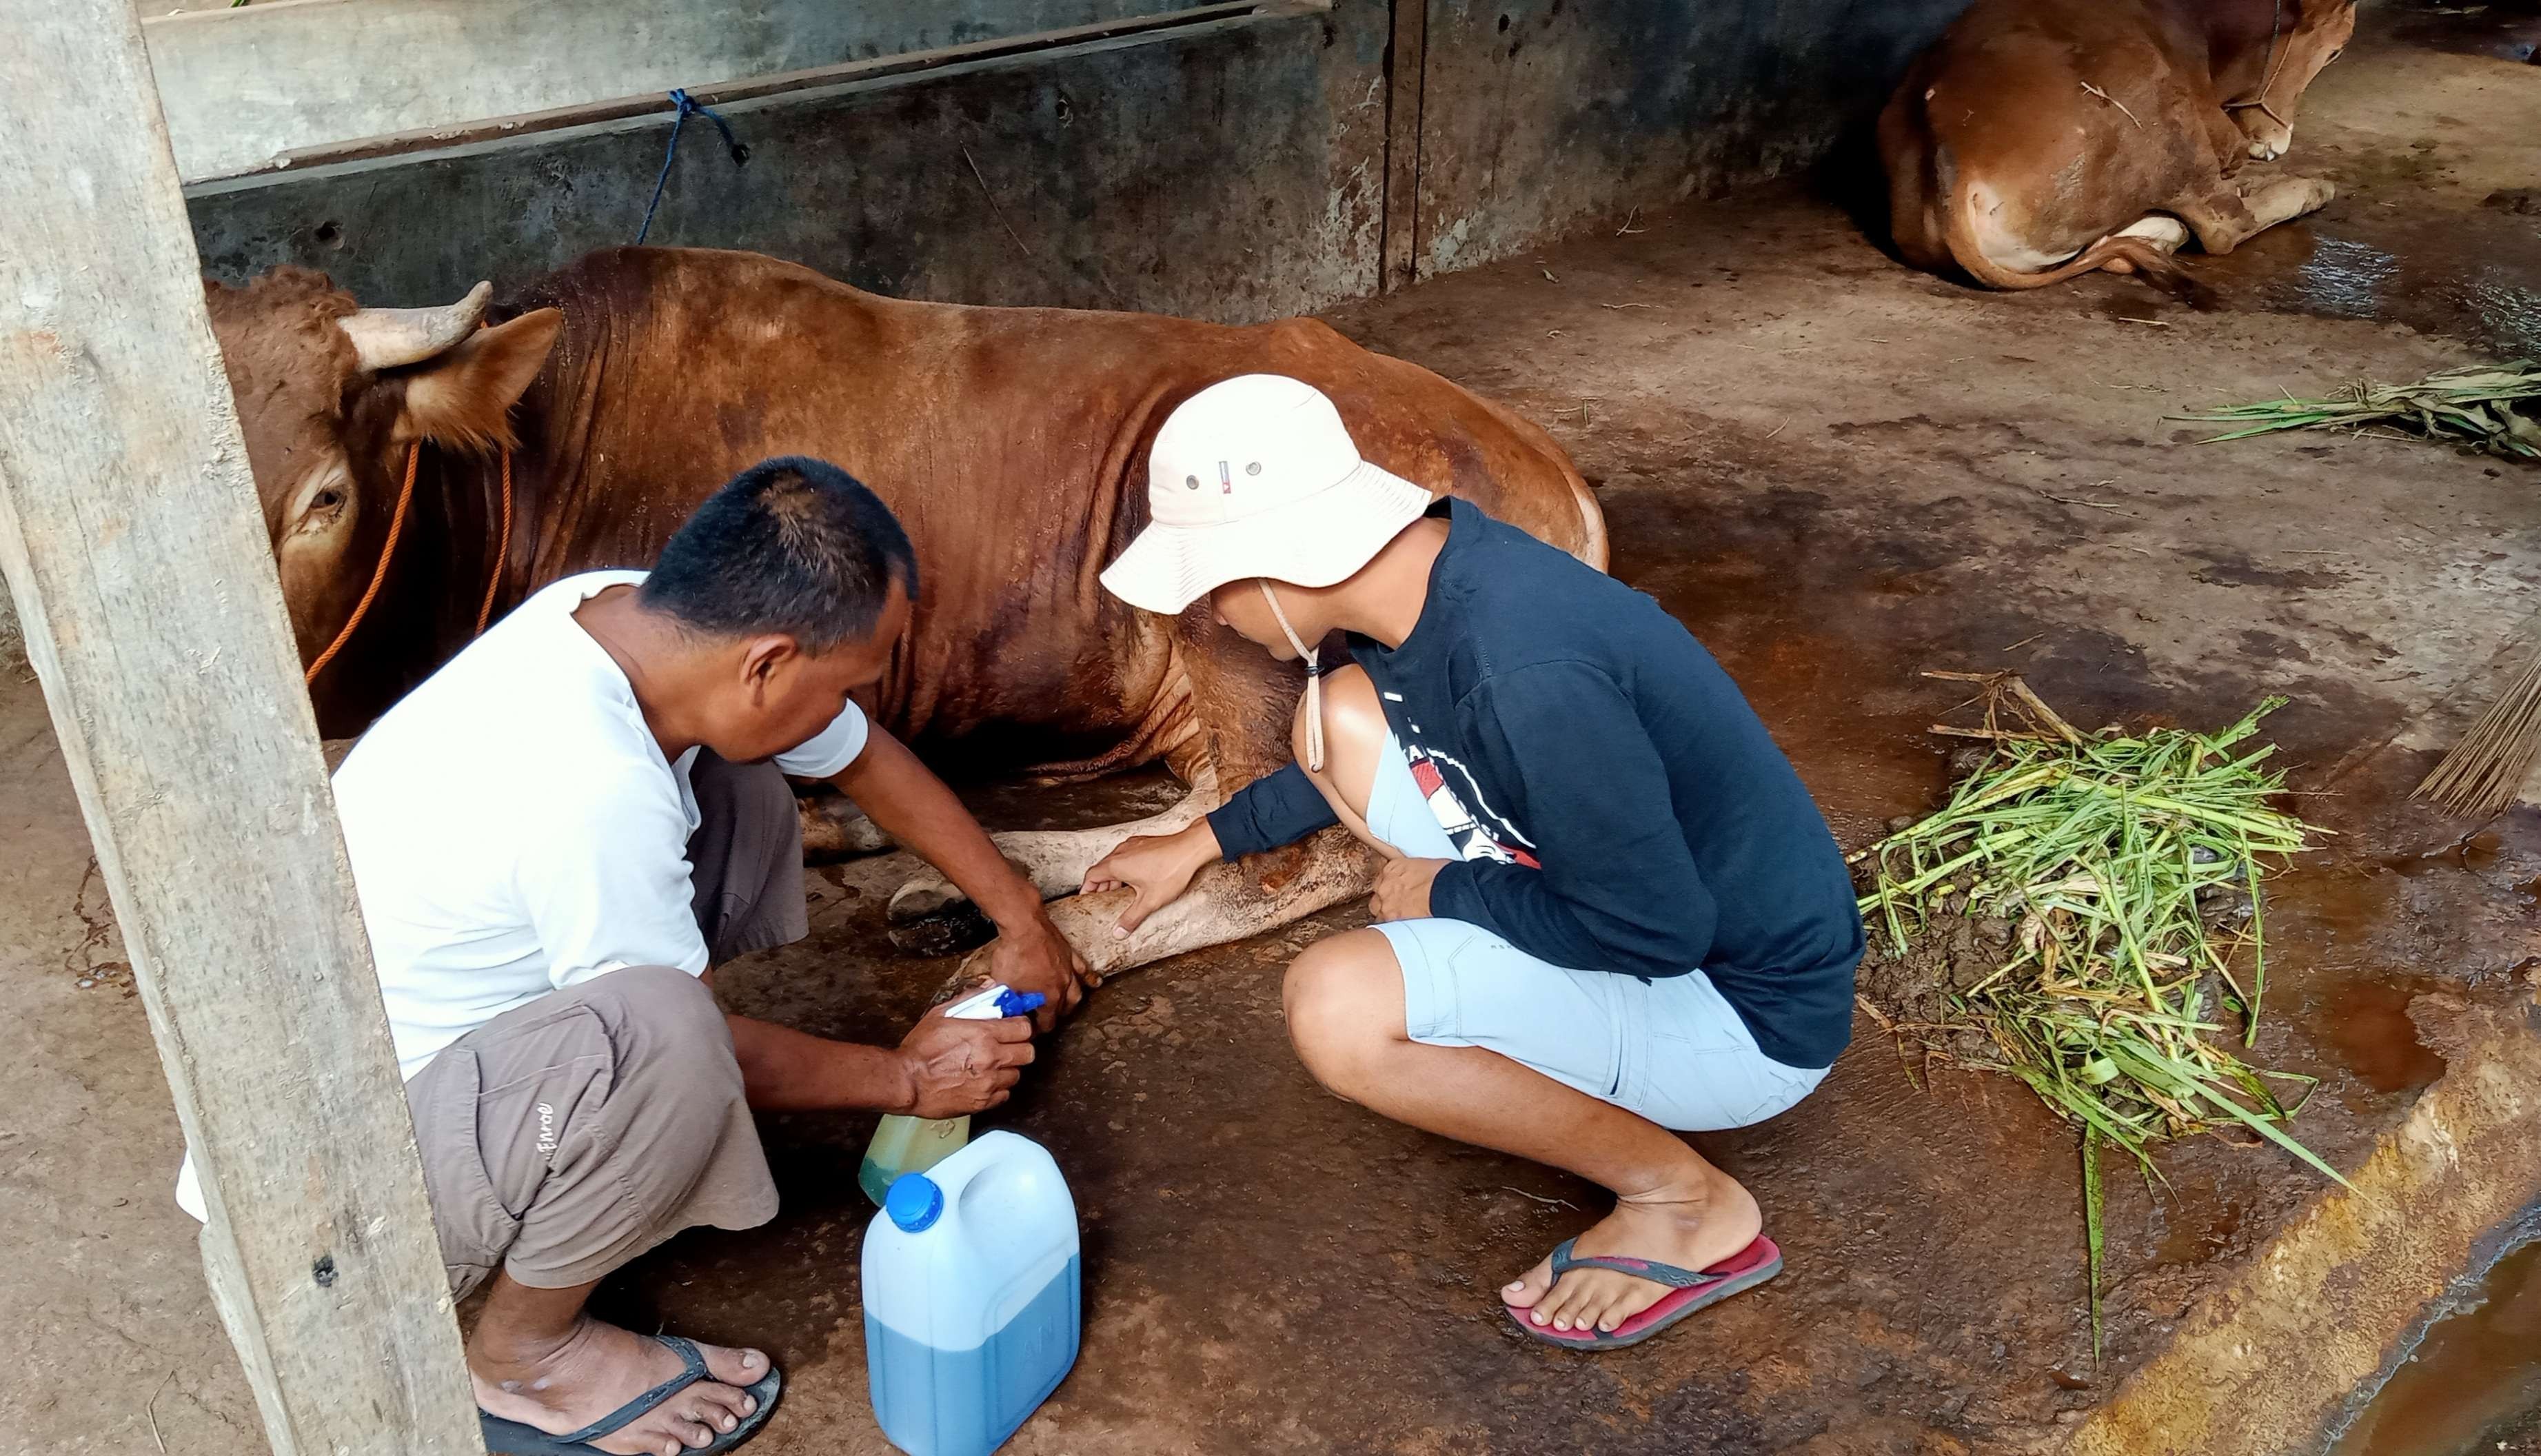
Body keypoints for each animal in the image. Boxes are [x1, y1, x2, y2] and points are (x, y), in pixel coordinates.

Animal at [208, 246, 1595, 975]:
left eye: (327, 495)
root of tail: (1536, 455)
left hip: (1249, 599)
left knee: (1311, 849)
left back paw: (1044, 939)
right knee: (1220, 800)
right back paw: (974, 880)